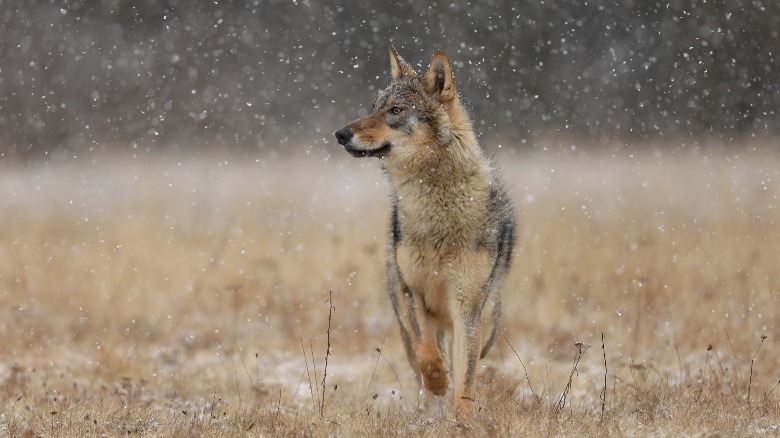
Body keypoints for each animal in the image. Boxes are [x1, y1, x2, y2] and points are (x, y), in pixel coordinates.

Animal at [334, 47, 512, 418]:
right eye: (373, 106)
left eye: (395, 110)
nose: (340, 133)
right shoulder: (411, 291)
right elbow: (427, 355)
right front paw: (437, 383)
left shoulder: (466, 306)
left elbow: (466, 378)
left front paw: (462, 419)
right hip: (403, 315)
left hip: (486, 321)